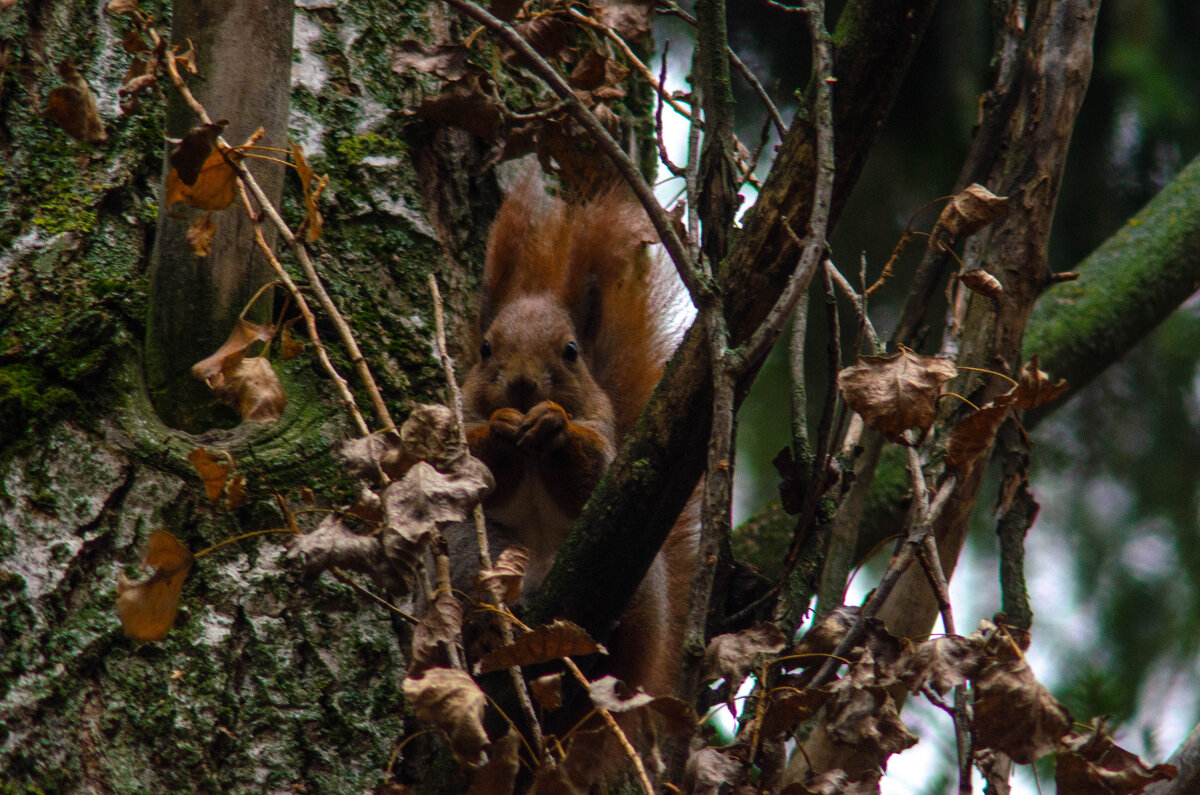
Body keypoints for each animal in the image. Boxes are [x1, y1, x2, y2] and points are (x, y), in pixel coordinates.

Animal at [463, 177, 700, 701]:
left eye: (571, 351)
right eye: (485, 349)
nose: (523, 385)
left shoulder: (604, 434)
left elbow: (590, 474)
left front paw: (552, 423)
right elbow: (479, 467)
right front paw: (503, 426)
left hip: (634, 577)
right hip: (478, 555)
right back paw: (487, 634)